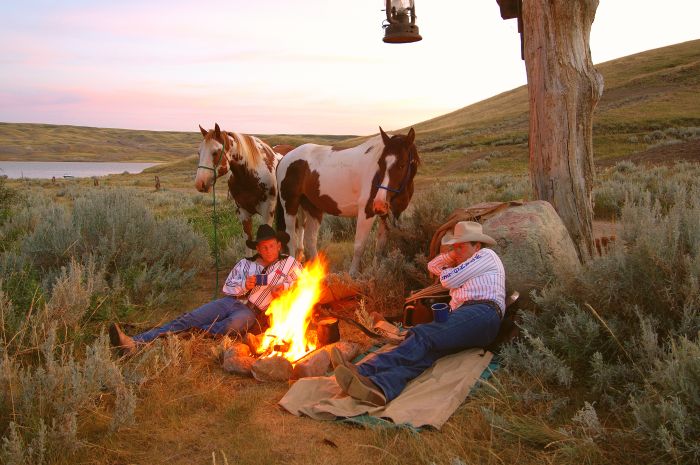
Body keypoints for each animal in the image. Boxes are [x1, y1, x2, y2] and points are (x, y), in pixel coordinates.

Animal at [276, 125, 418, 274]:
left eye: (402, 164)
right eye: (380, 163)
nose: (379, 203)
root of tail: (284, 158)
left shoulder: (386, 216)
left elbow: (379, 248)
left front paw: (375, 271)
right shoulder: (367, 213)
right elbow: (359, 246)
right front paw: (353, 274)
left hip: (313, 208)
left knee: (310, 239)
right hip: (290, 205)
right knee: (291, 238)